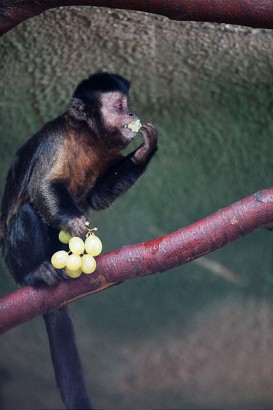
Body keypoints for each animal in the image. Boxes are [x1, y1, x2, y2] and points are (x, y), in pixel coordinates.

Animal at [0, 73, 157, 410]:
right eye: (119, 106)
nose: (131, 114)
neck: (88, 137)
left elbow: (96, 198)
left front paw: (145, 150)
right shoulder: (56, 140)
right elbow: (43, 186)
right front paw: (74, 223)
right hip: (12, 260)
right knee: (28, 212)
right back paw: (35, 273)